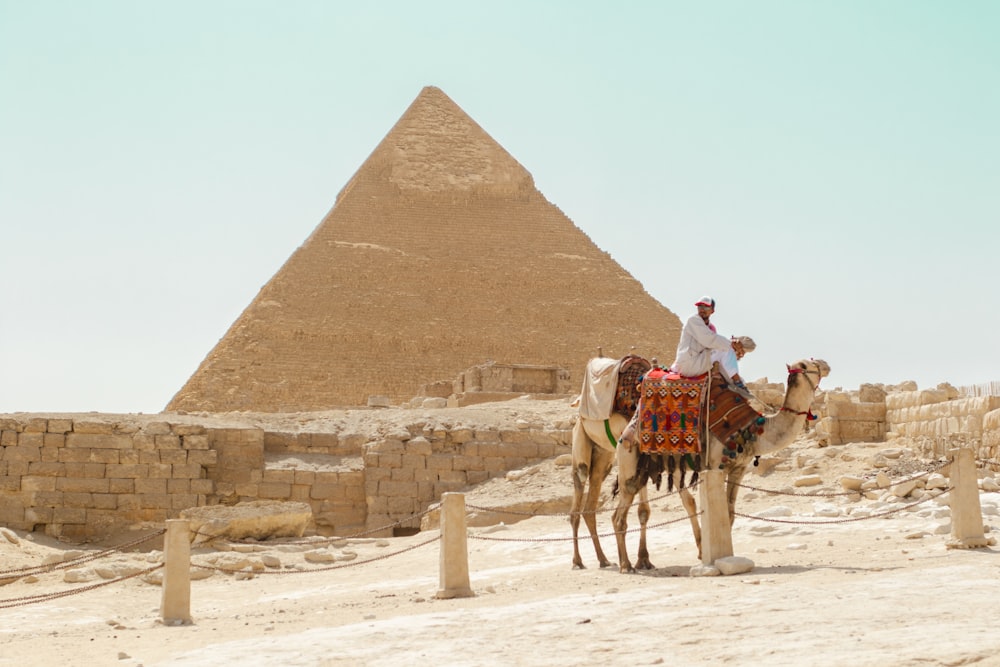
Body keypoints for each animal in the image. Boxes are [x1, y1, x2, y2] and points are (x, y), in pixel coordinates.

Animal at [608, 360, 828, 576]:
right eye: (807, 365)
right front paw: (713, 557)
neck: (754, 430)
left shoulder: (739, 468)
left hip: (650, 467)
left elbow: (729, 513)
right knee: (619, 515)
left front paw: (723, 555)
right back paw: (625, 565)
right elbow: (717, 512)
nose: (825, 365)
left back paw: (641, 561)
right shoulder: (715, 465)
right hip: (628, 461)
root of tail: (626, 431)